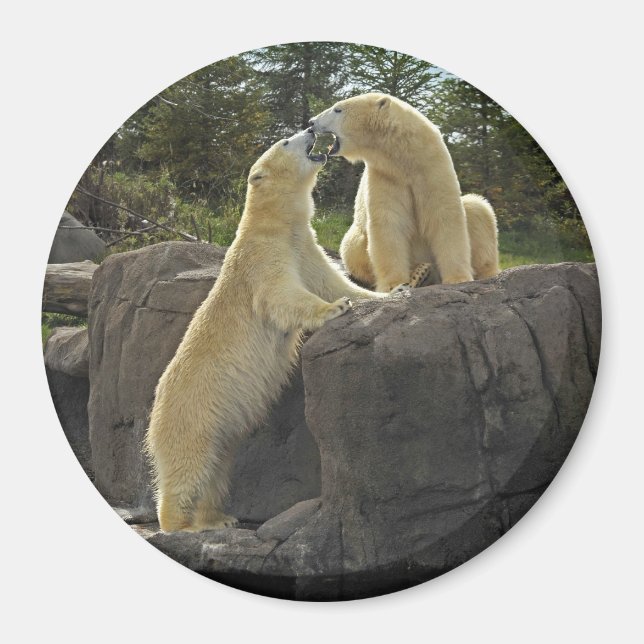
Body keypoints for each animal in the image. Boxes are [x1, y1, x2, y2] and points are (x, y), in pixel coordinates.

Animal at [144, 129, 401, 533]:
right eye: (284, 142)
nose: (310, 129)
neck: (274, 226)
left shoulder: (304, 246)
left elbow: (331, 280)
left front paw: (393, 292)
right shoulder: (262, 258)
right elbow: (283, 296)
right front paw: (334, 309)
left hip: (218, 429)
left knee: (216, 468)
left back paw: (219, 517)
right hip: (192, 414)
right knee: (190, 466)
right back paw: (185, 524)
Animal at [309, 93, 500, 292]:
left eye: (338, 109)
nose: (311, 122)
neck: (404, 155)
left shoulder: (433, 165)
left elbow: (444, 216)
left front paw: (458, 278)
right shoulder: (386, 175)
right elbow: (389, 223)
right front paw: (395, 285)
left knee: (477, 209)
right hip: (357, 240)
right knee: (353, 246)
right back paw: (421, 273)